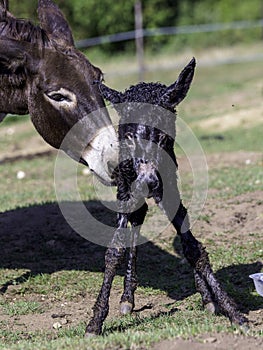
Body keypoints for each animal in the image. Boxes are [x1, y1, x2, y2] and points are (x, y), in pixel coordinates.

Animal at [85, 58, 249, 336]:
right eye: (128, 137)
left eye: (162, 136)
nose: (148, 183)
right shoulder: (127, 189)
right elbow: (114, 250)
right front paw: (95, 322)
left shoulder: (168, 186)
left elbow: (193, 247)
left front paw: (232, 311)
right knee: (137, 218)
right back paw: (127, 298)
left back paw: (204, 296)